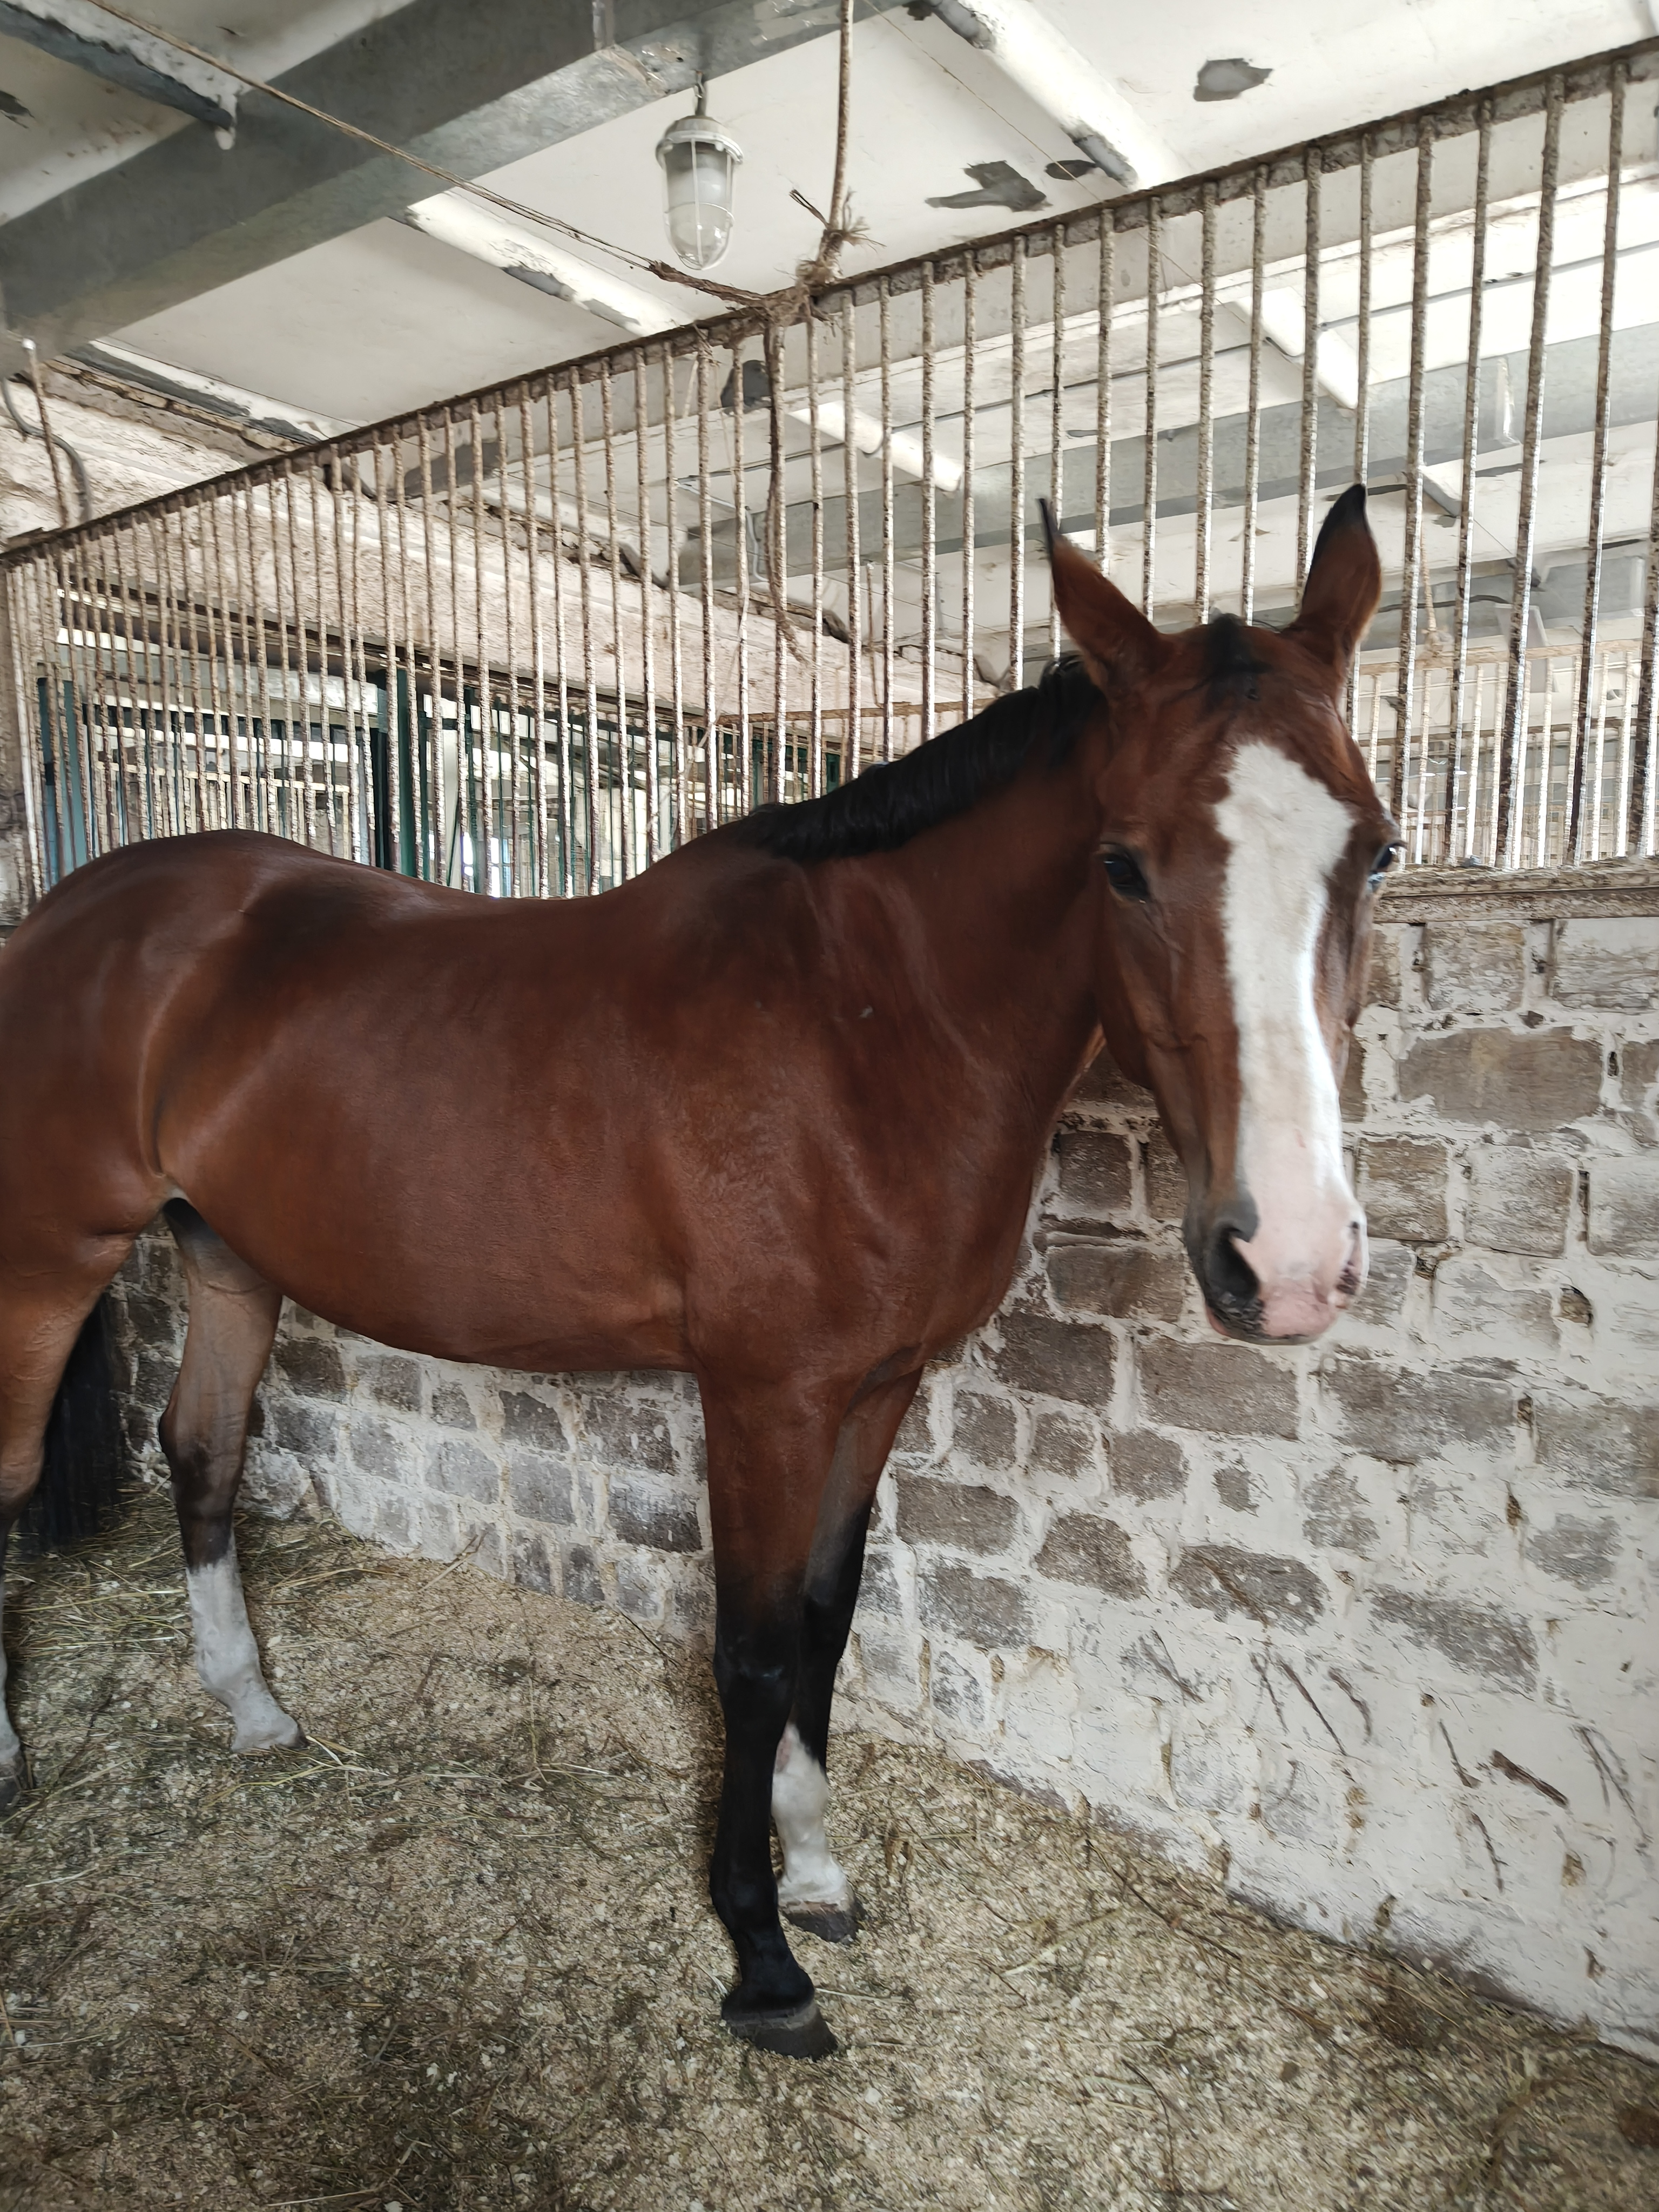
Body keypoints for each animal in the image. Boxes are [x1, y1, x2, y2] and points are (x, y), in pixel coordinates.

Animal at [0, 486, 1396, 2060]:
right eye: (1122, 861)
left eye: (1375, 852)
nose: (1287, 1260)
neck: (866, 1030)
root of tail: (69, 911)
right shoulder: (763, 1397)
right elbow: (750, 1650)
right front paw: (761, 1951)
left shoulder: (878, 1387)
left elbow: (827, 1625)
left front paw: (822, 1868)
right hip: (45, 1258)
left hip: (230, 1256)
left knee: (204, 1452)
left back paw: (251, 1709)